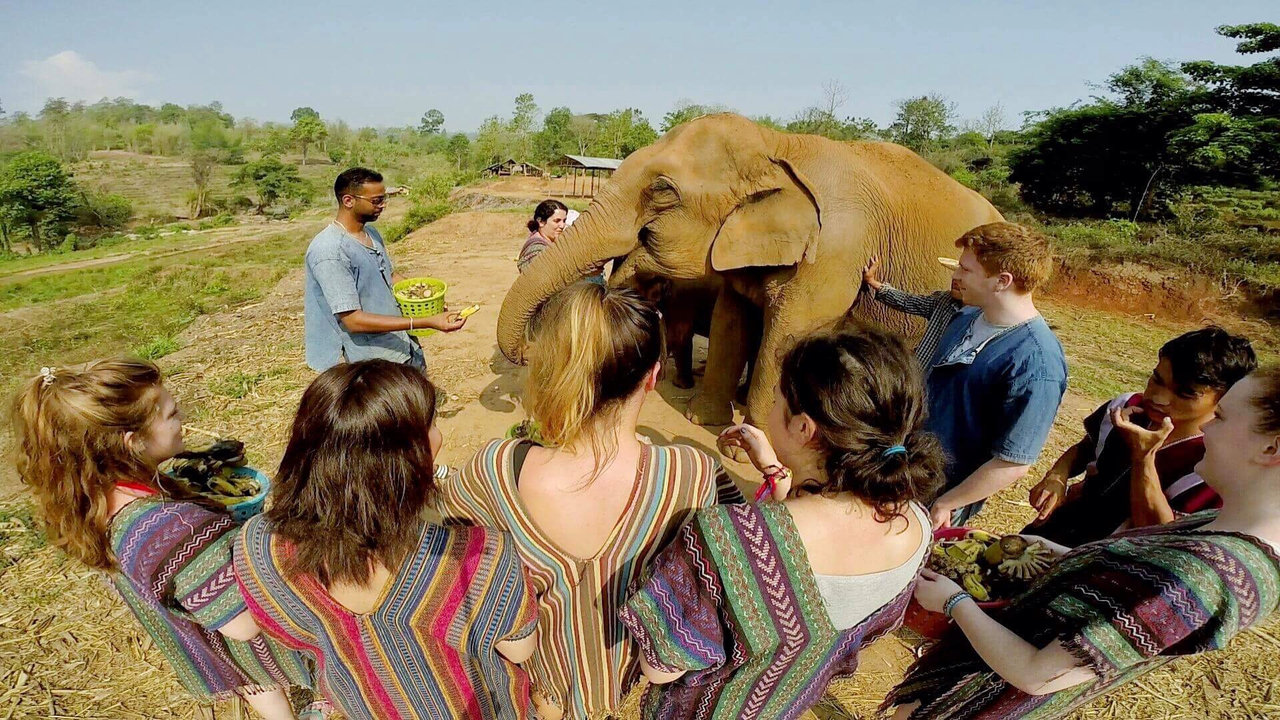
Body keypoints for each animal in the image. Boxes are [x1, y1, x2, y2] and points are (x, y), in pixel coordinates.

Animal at [497, 113, 1003, 427]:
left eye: (662, 191)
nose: (527, 351)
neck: (777, 143)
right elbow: (730, 317)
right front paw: (704, 419)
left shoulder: (836, 251)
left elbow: (788, 331)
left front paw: (751, 442)